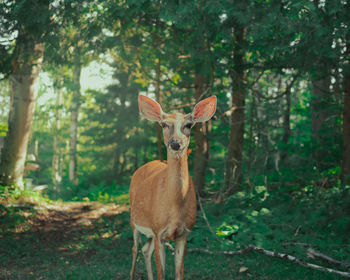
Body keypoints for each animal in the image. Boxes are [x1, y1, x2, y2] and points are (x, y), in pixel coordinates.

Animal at [129, 94, 216, 280]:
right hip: (134, 220)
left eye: (189, 124)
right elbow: (161, 273)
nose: (175, 143)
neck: (175, 207)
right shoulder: (158, 231)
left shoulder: (184, 233)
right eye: (163, 124)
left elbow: (178, 273)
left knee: (145, 250)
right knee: (134, 249)